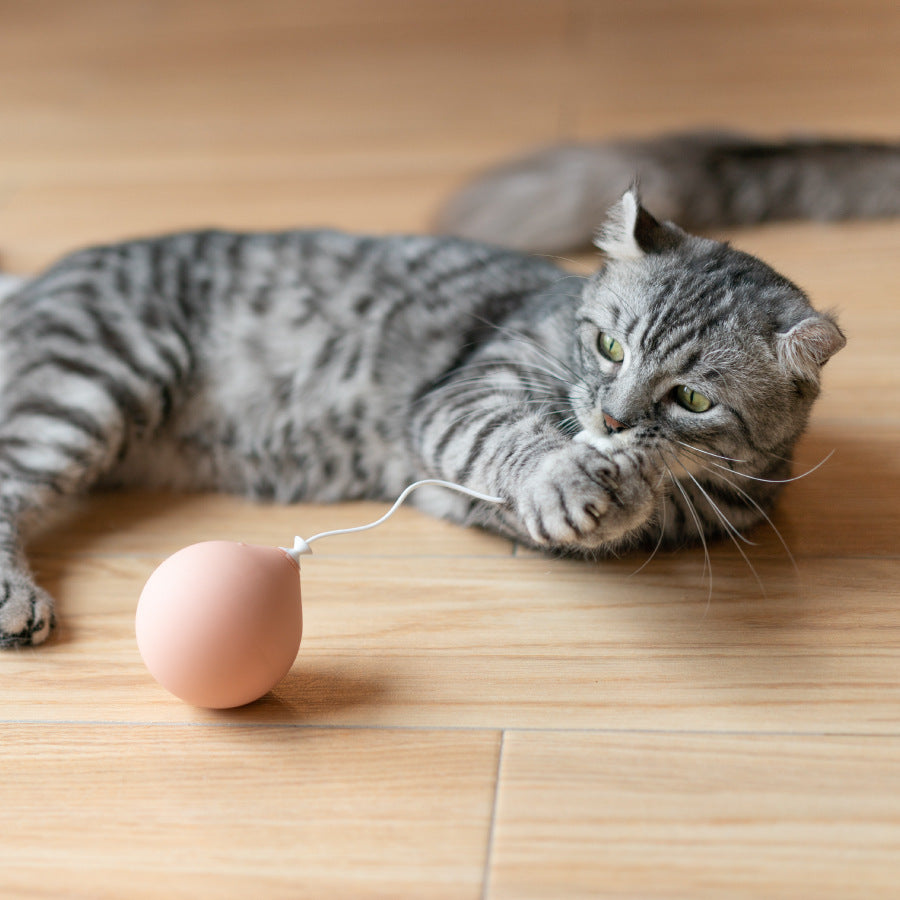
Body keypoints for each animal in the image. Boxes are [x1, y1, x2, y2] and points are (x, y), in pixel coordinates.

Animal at [0, 183, 844, 648]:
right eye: (609, 345)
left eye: (692, 399)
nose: (610, 418)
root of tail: (36, 281)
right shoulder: (464, 396)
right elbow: (517, 445)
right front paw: (574, 473)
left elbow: (631, 505)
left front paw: (626, 474)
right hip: (90, 386)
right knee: (11, 487)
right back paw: (17, 602)